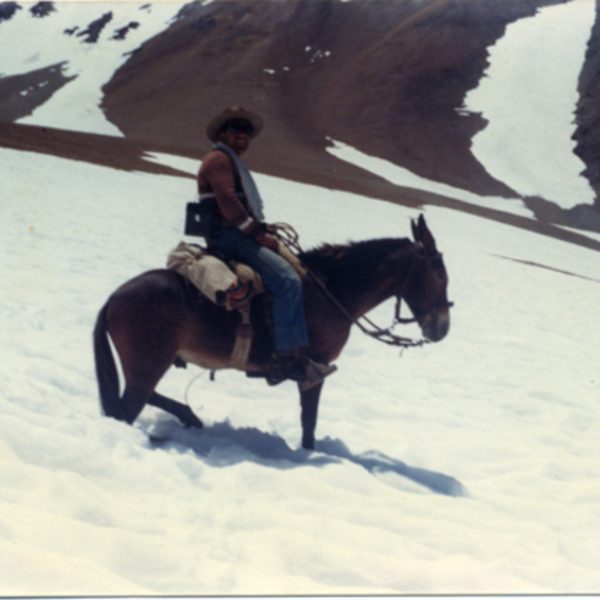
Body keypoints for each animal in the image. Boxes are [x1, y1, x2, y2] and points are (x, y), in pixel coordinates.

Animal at [94, 213, 450, 448]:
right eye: (439, 274)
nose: (442, 328)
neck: (333, 291)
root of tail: (113, 299)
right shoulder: (316, 368)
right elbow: (309, 421)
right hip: (147, 366)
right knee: (129, 407)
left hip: (151, 365)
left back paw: (190, 418)